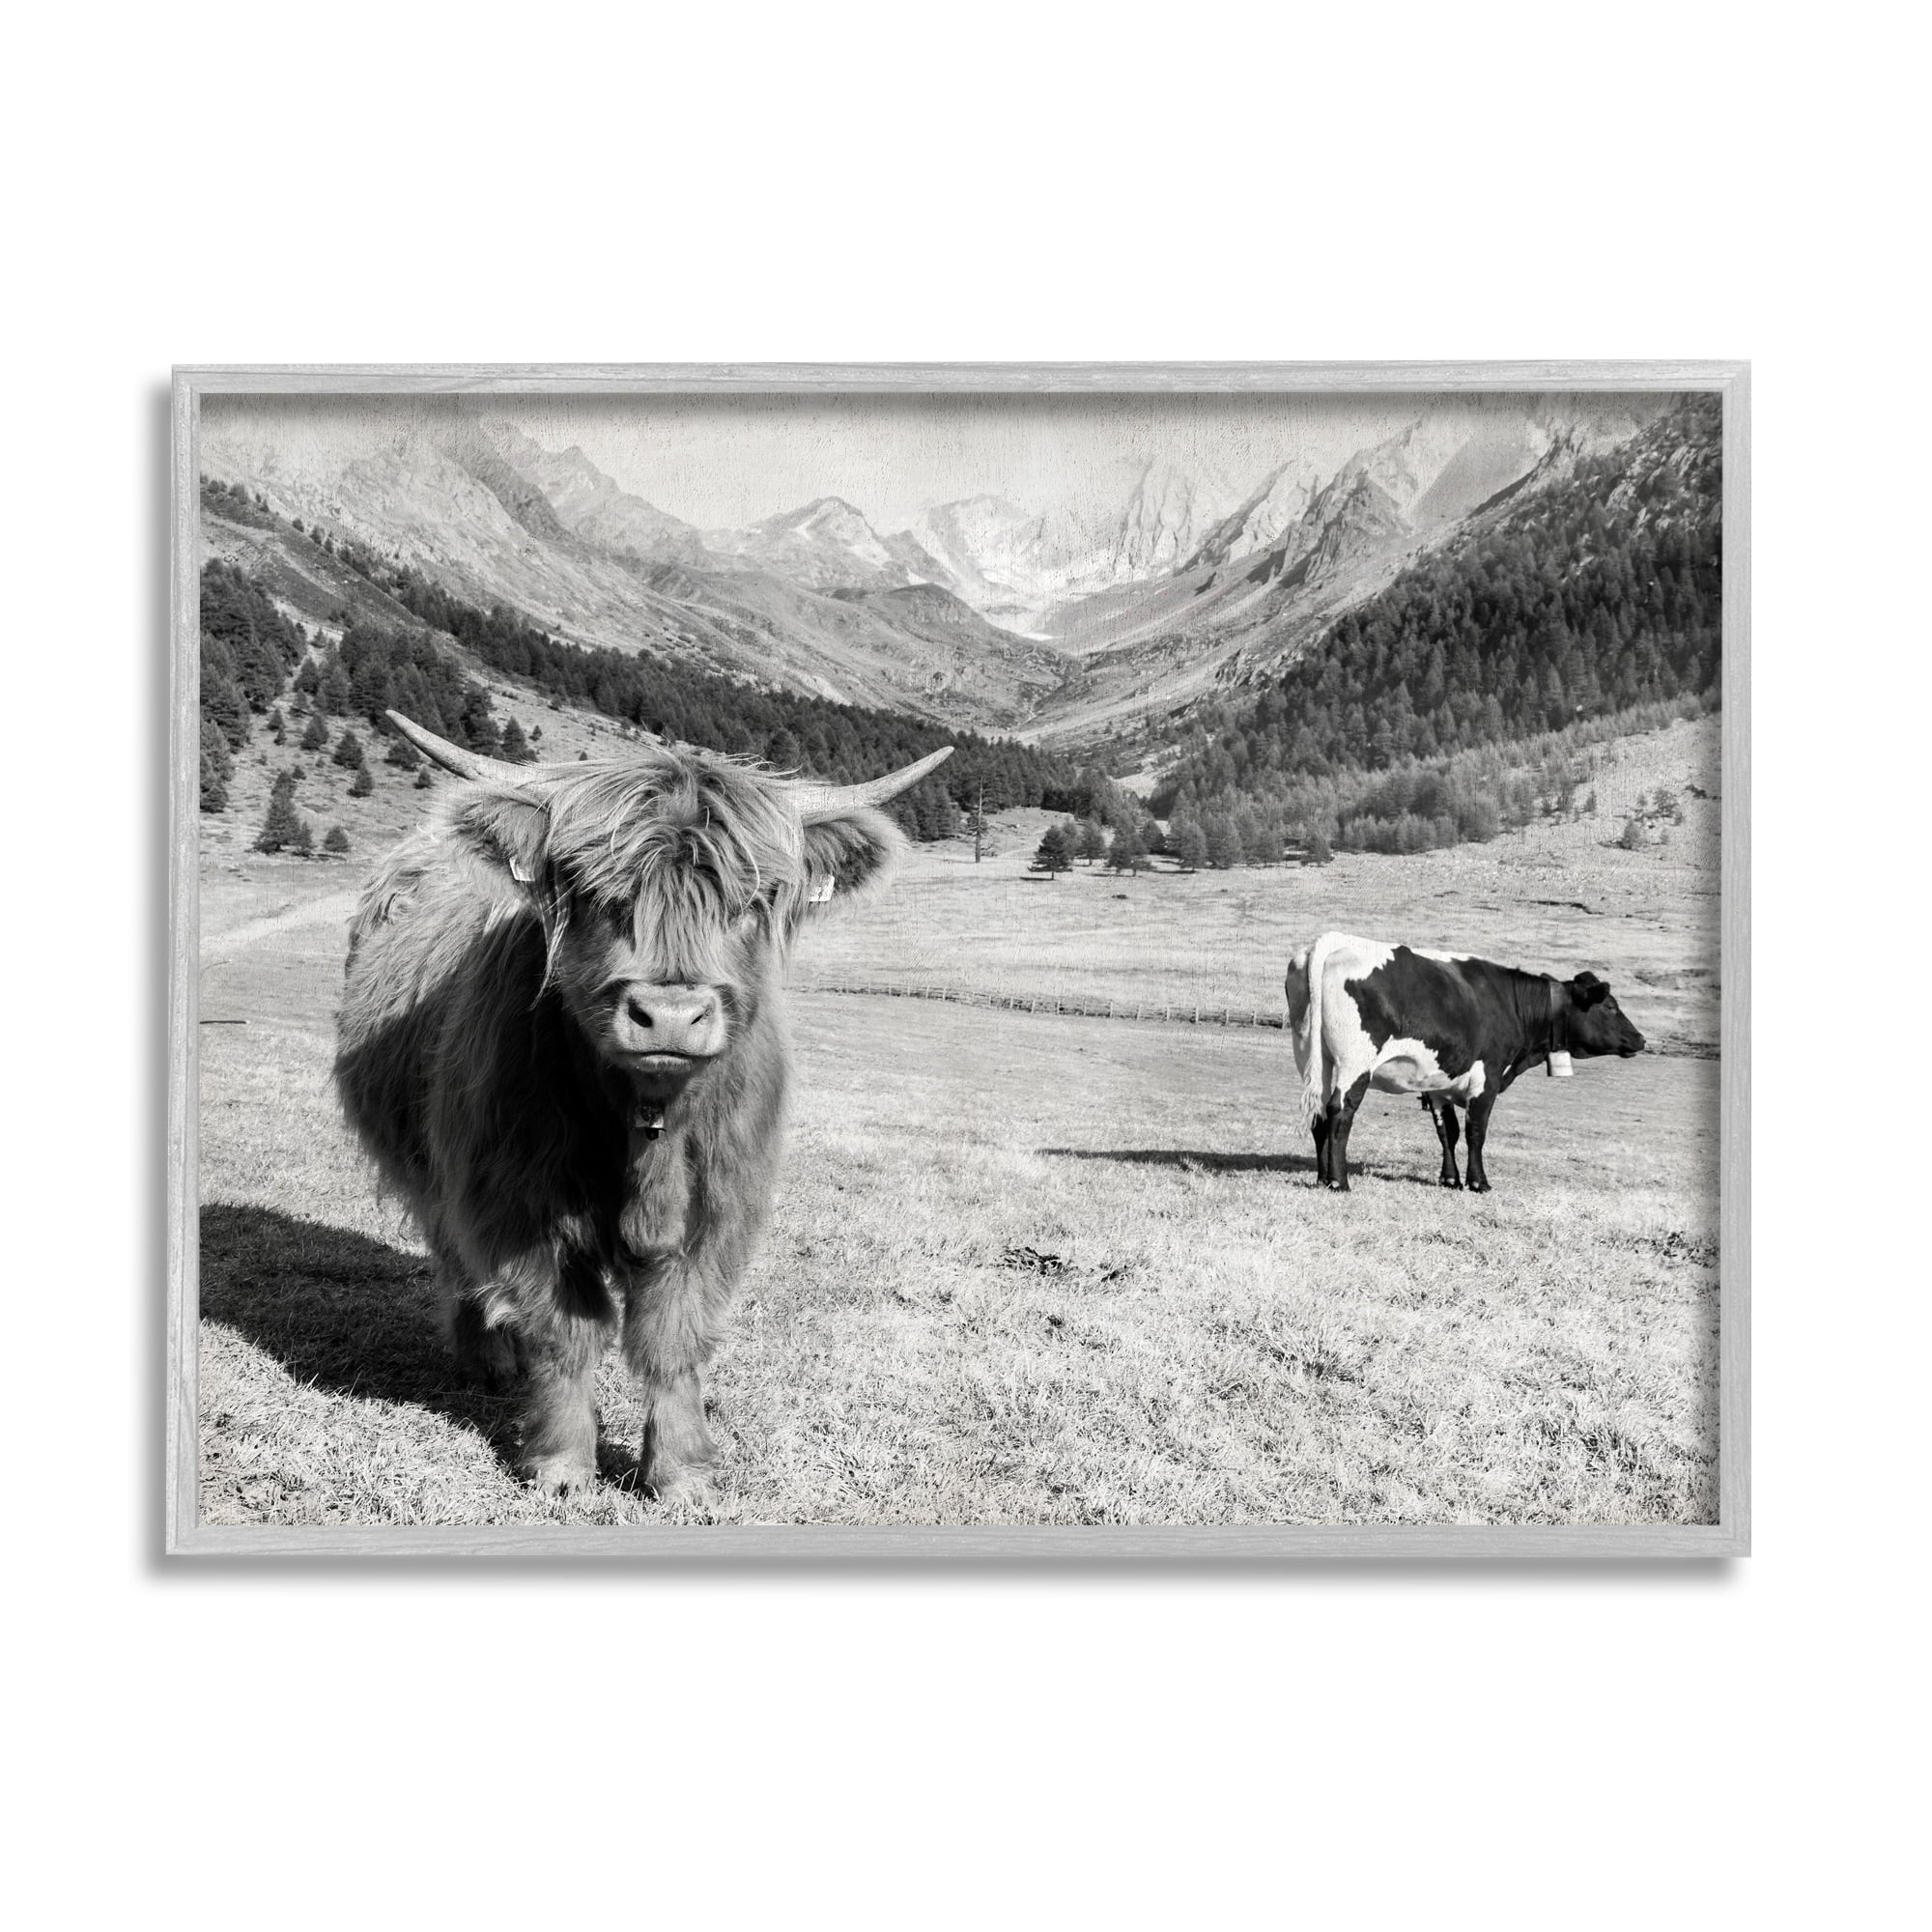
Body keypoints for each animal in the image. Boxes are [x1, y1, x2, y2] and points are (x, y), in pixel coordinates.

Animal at [333, 711, 950, 1502]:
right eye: (598, 894)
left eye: (749, 901)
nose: (669, 1015)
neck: (647, 1122)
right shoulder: (516, 1201)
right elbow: (566, 1331)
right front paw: (562, 1466)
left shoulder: (719, 1209)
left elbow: (673, 1338)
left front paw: (682, 1471)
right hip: (436, 1170)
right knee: (454, 1255)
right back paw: (487, 1361)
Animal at [1284, 931, 1645, 1194]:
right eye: (1610, 1006)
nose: (1641, 1039)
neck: (1511, 1003)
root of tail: (1333, 940)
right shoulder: (1487, 1079)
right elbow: (1475, 1131)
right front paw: (1478, 1182)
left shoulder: (1439, 1082)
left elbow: (1448, 1131)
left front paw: (1450, 1179)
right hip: (1356, 1061)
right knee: (1340, 1110)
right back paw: (1339, 1181)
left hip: (1312, 1056)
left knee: (1319, 1112)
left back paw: (1321, 1178)